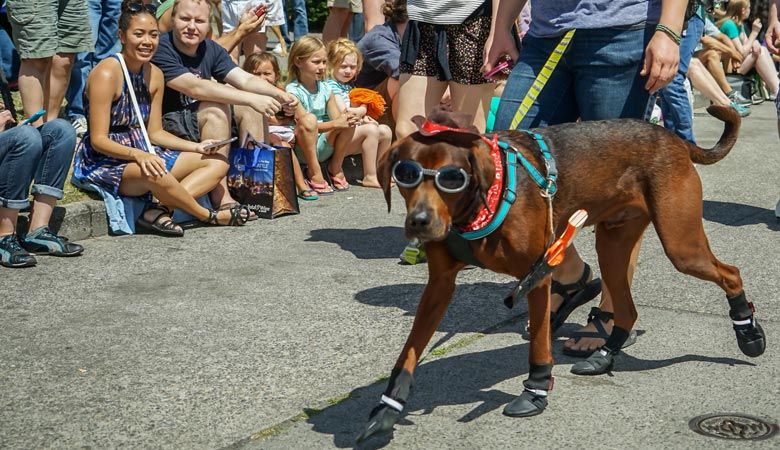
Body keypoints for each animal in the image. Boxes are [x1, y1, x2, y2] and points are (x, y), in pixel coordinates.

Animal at [354, 106, 768, 442]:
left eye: (451, 178)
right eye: (406, 175)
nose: (419, 221)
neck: (479, 205)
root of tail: (672, 137)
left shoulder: (536, 277)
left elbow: (539, 345)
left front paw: (535, 391)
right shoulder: (439, 286)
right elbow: (409, 352)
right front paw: (388, 407)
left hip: (681, 244)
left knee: (731, 273)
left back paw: (747, 332)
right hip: (613, 245)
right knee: (628, 309)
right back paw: (604, 355)